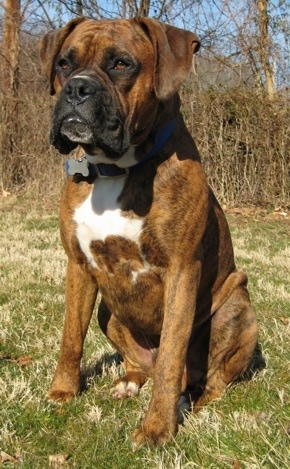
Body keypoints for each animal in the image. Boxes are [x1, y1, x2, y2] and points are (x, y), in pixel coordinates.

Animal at [40, 16, 258, 444]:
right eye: (63, 63)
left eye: (122, 64)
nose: (77, 87)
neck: (114, 168)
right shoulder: (78, 266)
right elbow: (70, 337)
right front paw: (62, 391)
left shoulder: (181, 271)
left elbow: (173, 353)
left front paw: (157, 428)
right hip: (109, 311)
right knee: (143, 366)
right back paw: (129, 382)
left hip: (238, 309)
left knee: (206, 380)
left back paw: (190, 403)